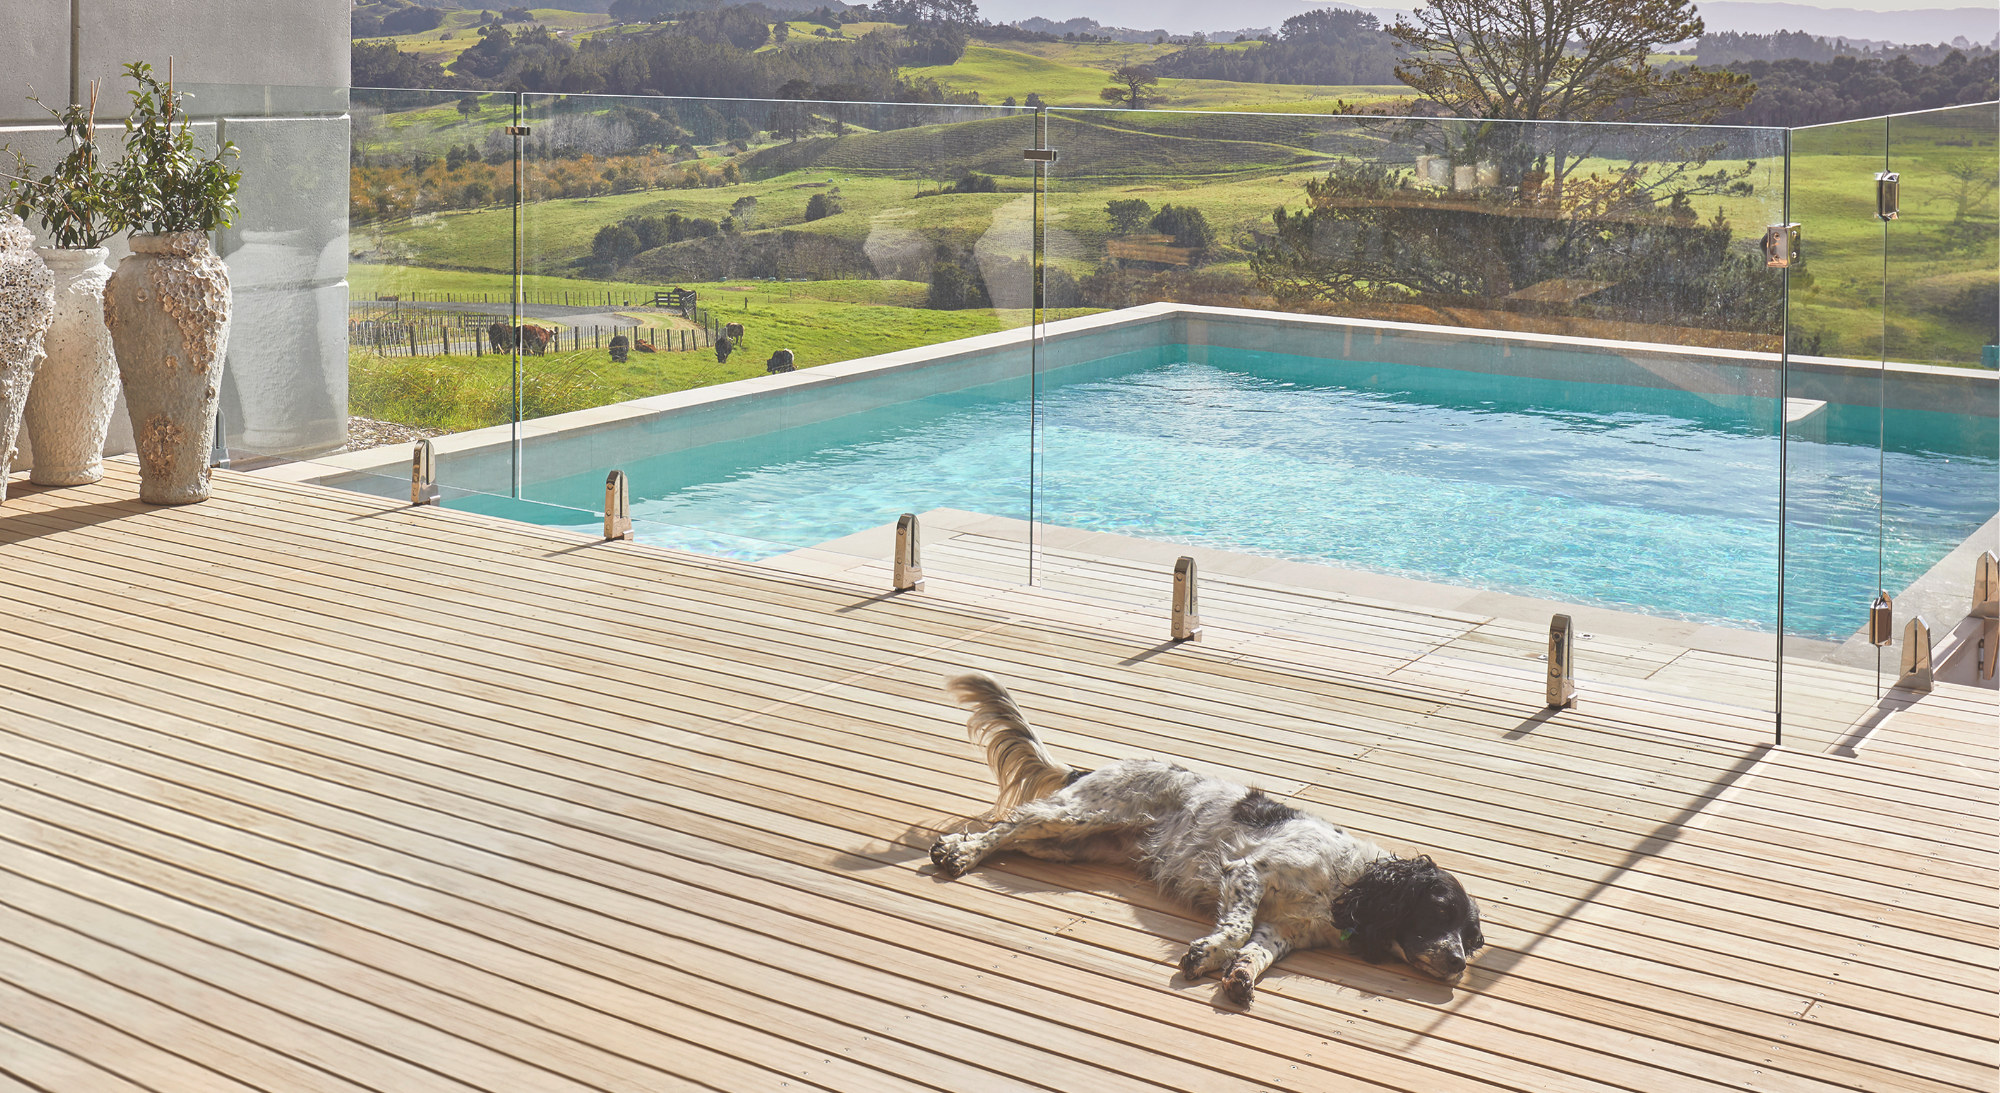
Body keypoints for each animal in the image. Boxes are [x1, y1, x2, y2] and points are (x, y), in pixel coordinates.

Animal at [928, 672, 1480, 1004]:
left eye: (1470, 939)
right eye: (1438, 910)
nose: (1457, 964)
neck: (1351, 885)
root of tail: (1094, 768)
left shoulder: (1286, 929)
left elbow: (1257, 951)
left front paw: (1240, 976)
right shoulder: (1248, 873)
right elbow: (1235, 929)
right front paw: (1207, 954)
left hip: (1068, 845)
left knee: (1016, 838)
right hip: (1081, 814)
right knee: (1006, 826)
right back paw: (957, 852)